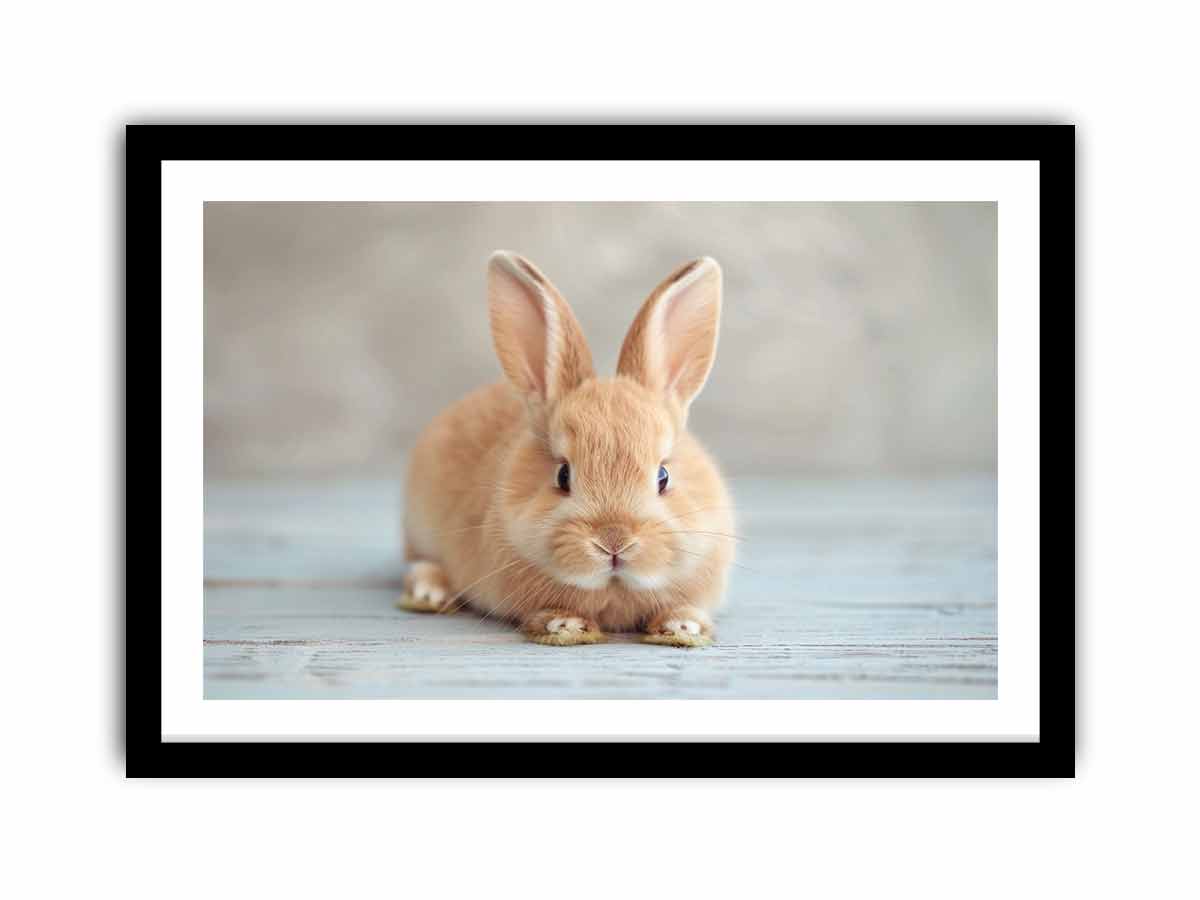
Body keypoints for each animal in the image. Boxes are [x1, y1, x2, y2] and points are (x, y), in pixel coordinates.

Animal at [398, 251, 734, 647]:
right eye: (563, 475)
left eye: (663, 477)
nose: (613, 541)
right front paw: (565, 626)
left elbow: (683, 609)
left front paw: (683, 627)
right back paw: (429, 593)